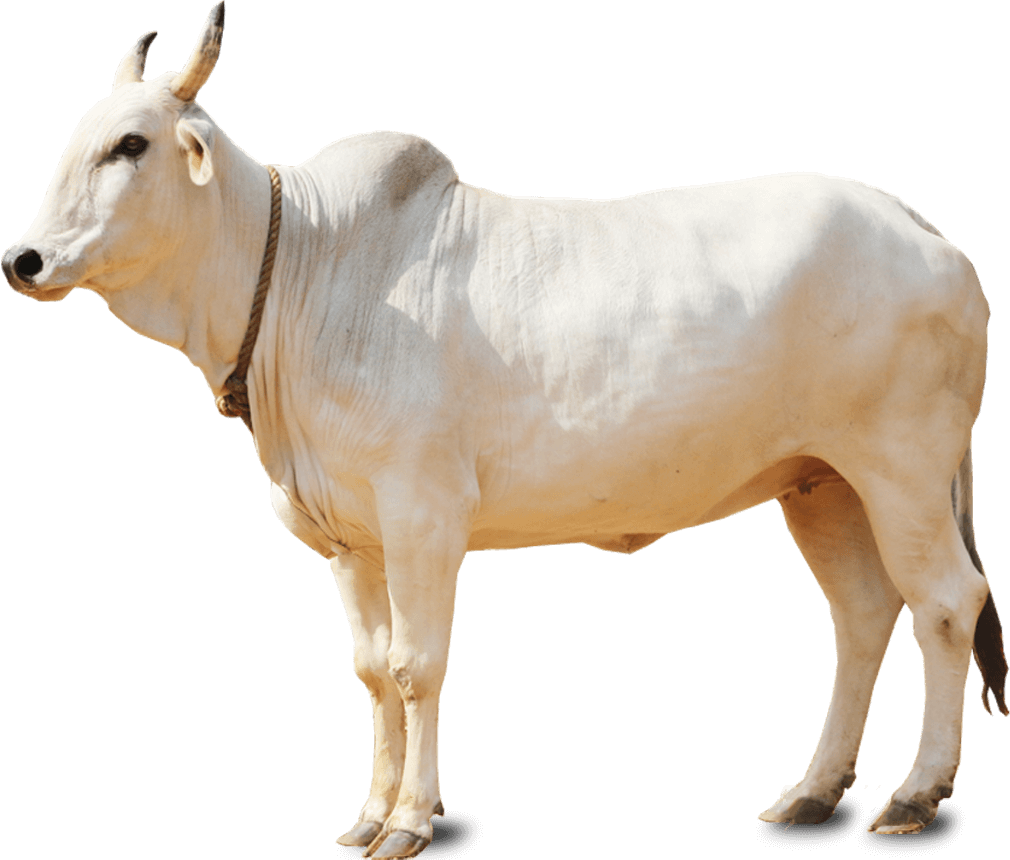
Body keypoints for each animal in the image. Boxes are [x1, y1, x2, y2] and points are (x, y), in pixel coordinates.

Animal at [4, 3, 1006, 856]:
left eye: (131, 144)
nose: (26, 260)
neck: (301, 268)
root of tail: (926, 234)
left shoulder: (423, 512)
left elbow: (418, 665)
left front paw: (409, 821)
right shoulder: (349, 539)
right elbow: (372, 671)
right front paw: (367, 813)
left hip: (904, 466)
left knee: (947, 603)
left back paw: (915, 794)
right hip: (821, 482)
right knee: (862, 617)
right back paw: (814, 791)